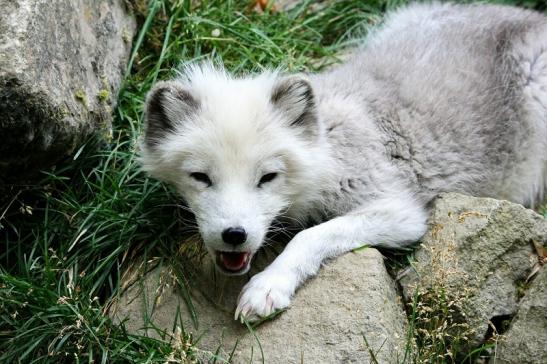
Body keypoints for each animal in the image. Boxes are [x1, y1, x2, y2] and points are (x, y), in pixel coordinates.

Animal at [141, 3, 547, 322]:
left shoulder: (402, 213)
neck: (327, 151)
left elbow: (310, 235)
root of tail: (529, 15)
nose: (234, 235)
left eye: (268, 177)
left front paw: (268, 286)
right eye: (201, 177)